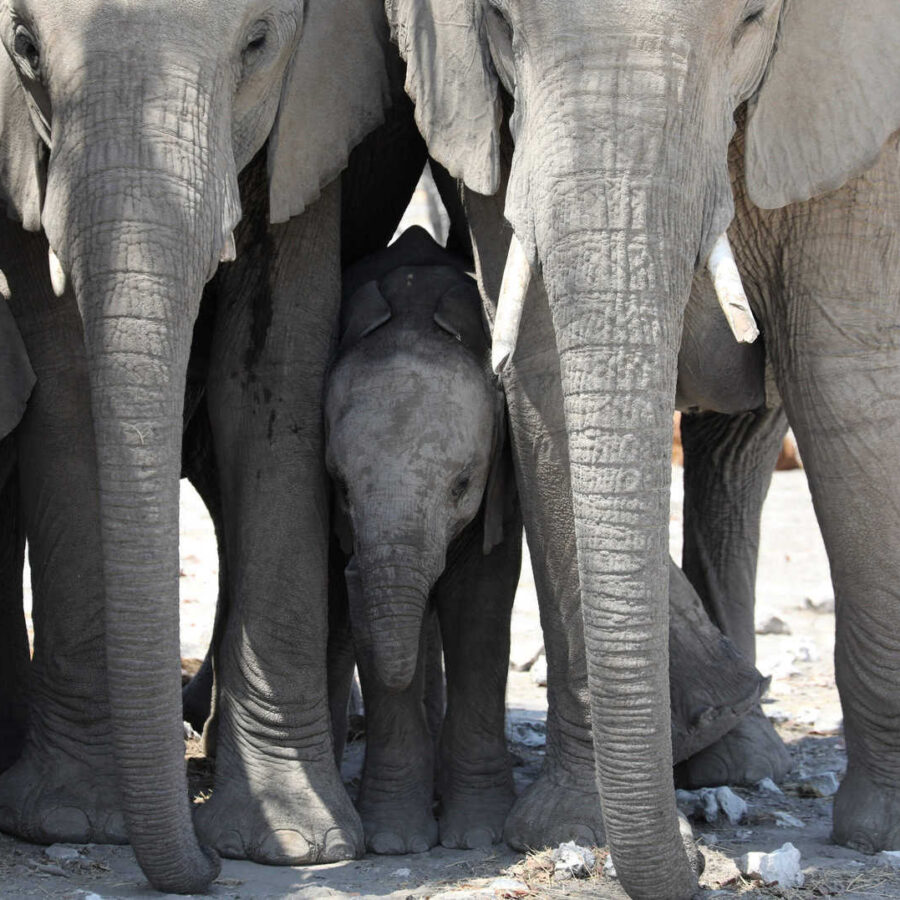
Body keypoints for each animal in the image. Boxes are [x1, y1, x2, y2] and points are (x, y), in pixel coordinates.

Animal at [0, 0, 432, 888]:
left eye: (259, 42)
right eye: (23, 47)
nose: (199, 870)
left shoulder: (310, 110)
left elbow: (268, 378)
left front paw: (297, 845)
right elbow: (65, 380)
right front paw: (71, 819)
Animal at [326, 225, 520, 852]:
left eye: (462, 485)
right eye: (341, 486)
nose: (353, 567)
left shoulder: (502, 486)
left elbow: (479, 611)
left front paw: (478, 836)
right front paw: (396, 842)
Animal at [384, 3, 900, 896]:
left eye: (755, 20)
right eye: (500, 23)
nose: (701, 870)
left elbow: (847, 380)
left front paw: (881, 831)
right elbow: (545, 378)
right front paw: (576, 830)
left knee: (743, 450)